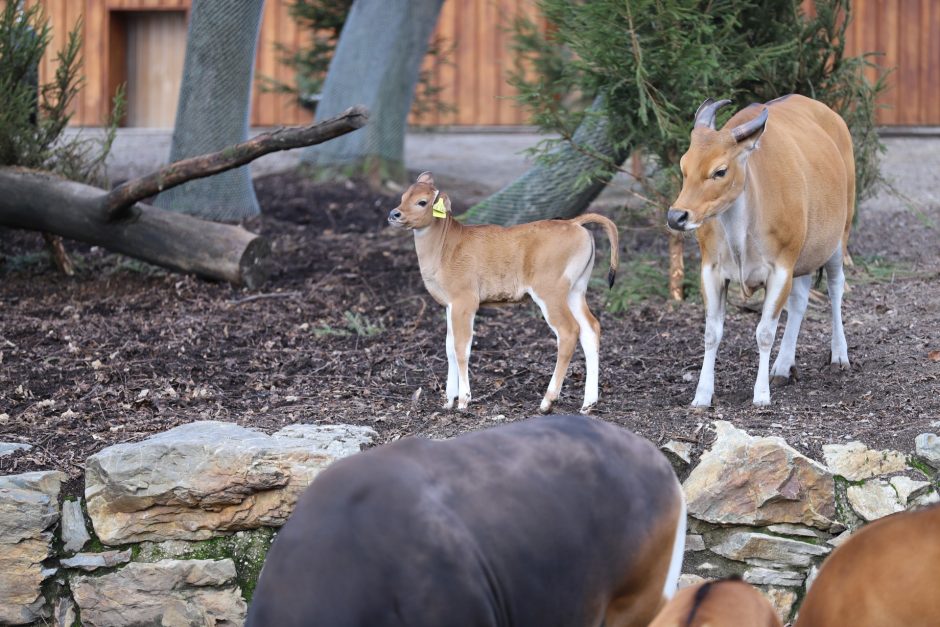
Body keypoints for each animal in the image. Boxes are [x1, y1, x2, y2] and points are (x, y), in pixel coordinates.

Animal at [388, 173, 616, 418]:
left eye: (422, 201)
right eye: (403, 196)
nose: (394, 214)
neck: (445, 248)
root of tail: (574, 223)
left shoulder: (465, 301)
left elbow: (461, 348)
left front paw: (464, 400)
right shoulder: (449, 304)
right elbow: (449, 347)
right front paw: (448, 400)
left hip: (550, 291)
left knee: (568, 331)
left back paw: (548, 401)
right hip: (576, 290)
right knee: (591, 328)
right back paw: (588, 404)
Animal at [664, 93, 856, 408]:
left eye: (720, 171)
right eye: (684, 165)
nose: (676, 217)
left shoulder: (780, 268)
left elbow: (765, 332)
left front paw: (761, 394)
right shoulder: (711, 270)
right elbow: (711, 333)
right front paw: (702, 395)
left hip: (838, 237)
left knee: (836, 287)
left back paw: (839, 355)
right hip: (804, 253)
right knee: (800, 300)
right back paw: (783, 366)